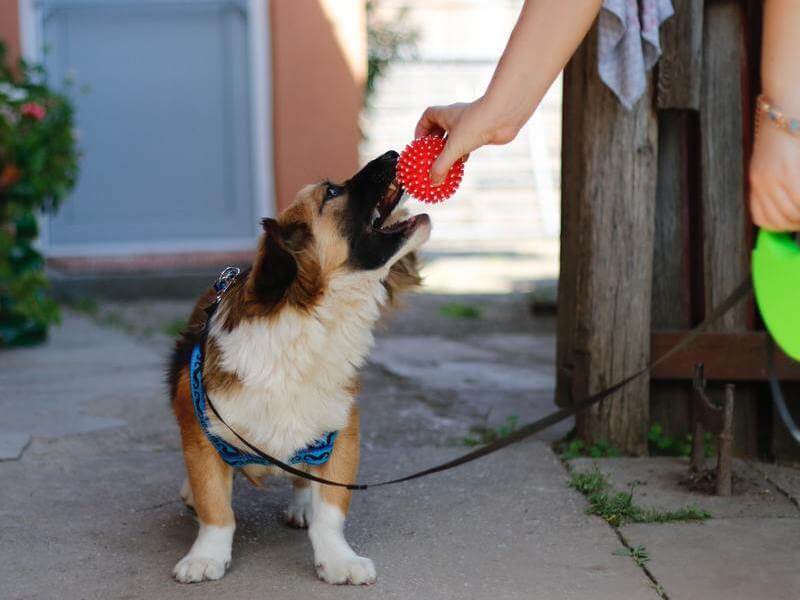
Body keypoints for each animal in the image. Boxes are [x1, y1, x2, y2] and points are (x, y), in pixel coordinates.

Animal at [167, 151, 432, 584]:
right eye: (332, 192)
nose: (393, 153)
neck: (313, 323)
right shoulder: (202, 434)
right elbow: (216, 508)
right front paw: (206, 556)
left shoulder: (339, 432)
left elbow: (331, 511)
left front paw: (338, 559)